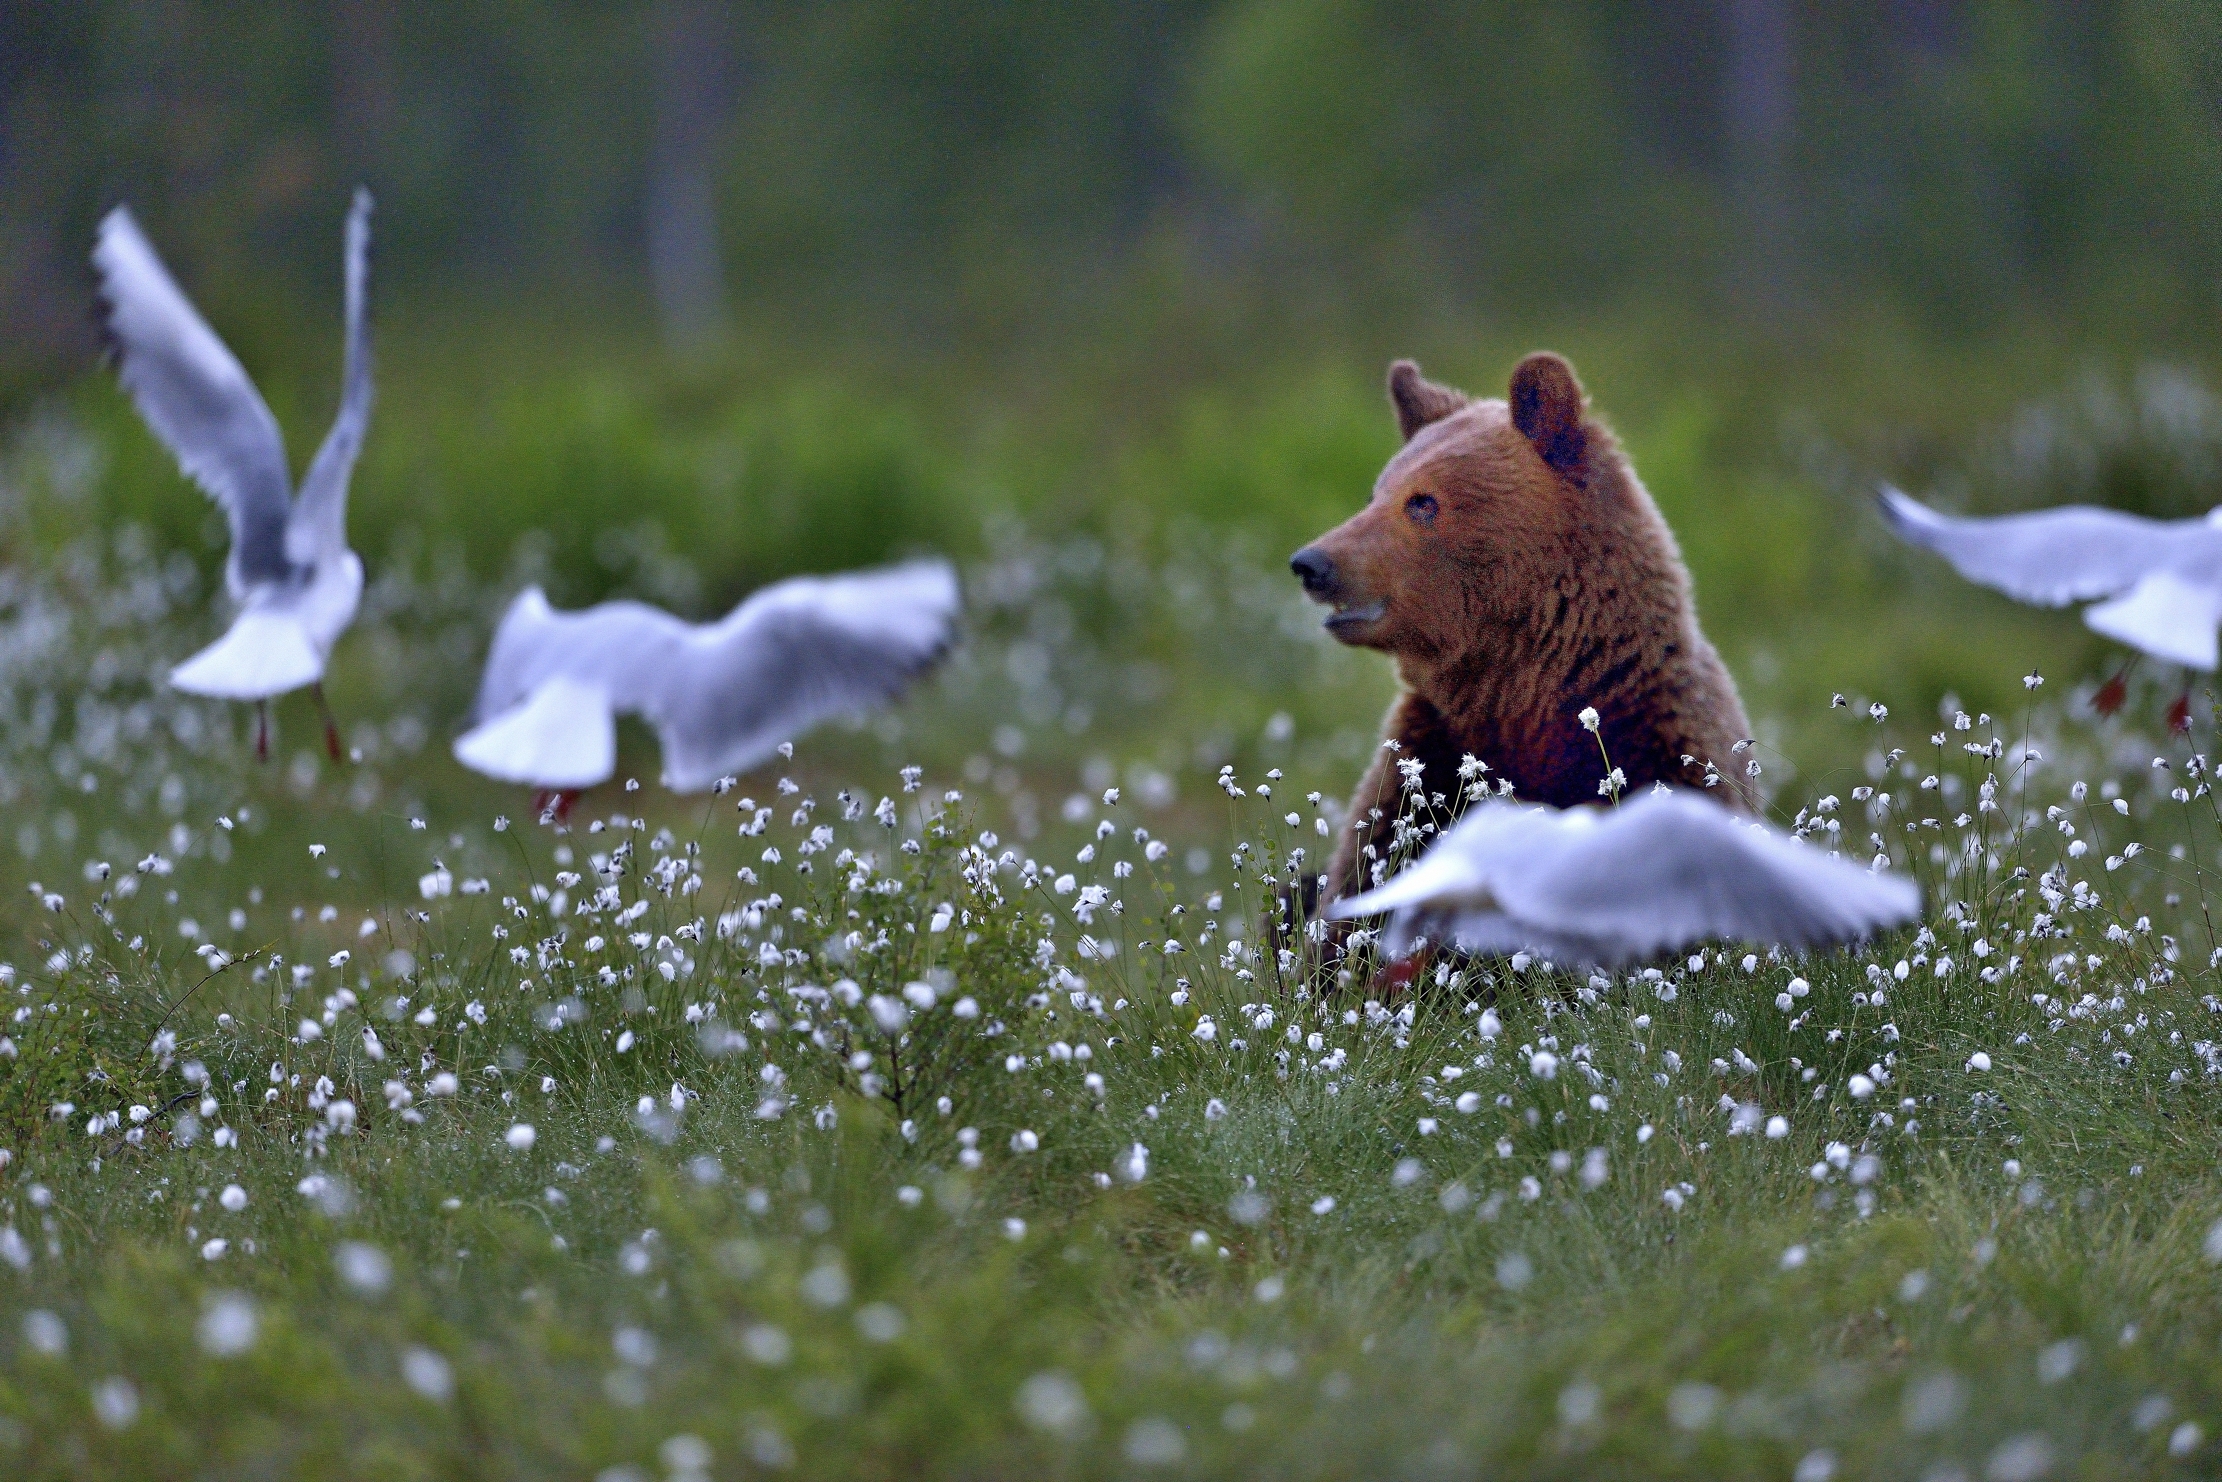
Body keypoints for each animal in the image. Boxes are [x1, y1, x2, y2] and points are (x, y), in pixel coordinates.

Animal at [1289, 351, 1757, 922]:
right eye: (1375, 493)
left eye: (1422, 502)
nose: (1312, 562)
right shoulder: (1429, 759)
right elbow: (1363, 879)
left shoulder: (1662, 751)